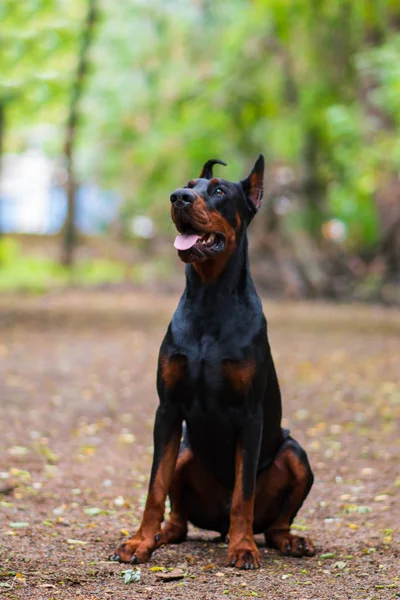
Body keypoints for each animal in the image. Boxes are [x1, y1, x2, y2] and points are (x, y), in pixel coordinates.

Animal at [110, 155, 316, 568]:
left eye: (219, 191)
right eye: (188, 185)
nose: (178, 197)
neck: (209, 299)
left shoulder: (251, 416)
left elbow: (243, 493)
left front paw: (243, 547)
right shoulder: (167, 409)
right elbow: (155, 486)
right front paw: (140, 541)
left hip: (295, 453)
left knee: (275, 522)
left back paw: (289, 540)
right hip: (186, 451)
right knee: (179, 516)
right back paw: (163, 535)